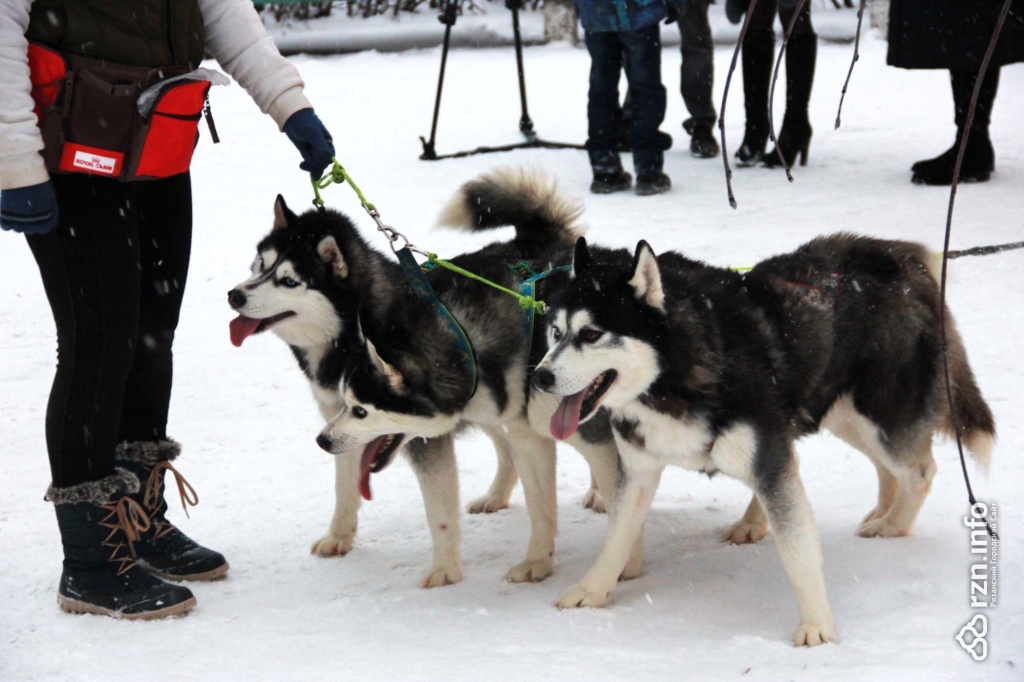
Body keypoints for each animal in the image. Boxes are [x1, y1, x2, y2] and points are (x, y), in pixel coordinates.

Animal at [532, 233, 995, 643]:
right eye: (555, 332)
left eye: (591, 334)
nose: (540, 376)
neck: (675, 372)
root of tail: (897, 256)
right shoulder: (639, 469)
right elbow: (617, 536)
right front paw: (592, 590)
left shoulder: (770, 460)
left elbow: (797, 552)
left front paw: (817, 624)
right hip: (843, 417)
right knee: (886, 467)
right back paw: (881, 512)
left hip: (879, 414)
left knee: (919, 469)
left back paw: (894, 524)